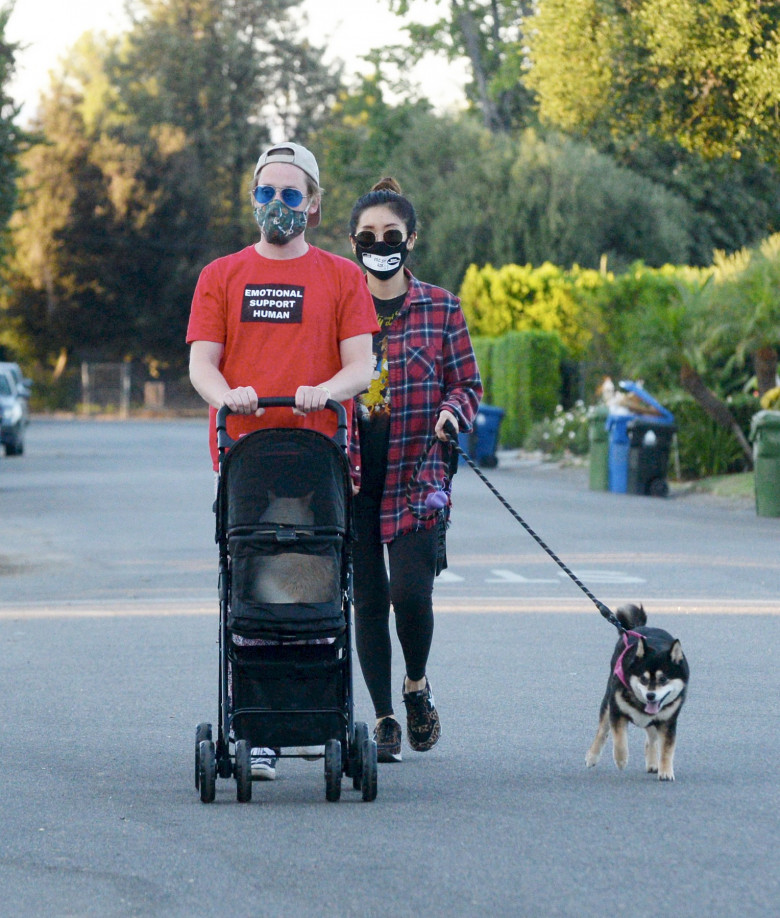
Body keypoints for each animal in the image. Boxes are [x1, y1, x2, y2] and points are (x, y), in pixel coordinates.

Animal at [584, 604, 688, 784]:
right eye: (643, 679)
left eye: (663, 679)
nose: (651, 696)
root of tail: (633, 630)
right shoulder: (617, 712)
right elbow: (619, 740)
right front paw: (621, 760)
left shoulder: (667, 722)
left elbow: (667, 749)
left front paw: (666, 771)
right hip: (607, 703)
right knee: (602, 731)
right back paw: (592, 756)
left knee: (651, 738)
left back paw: (653, 763)